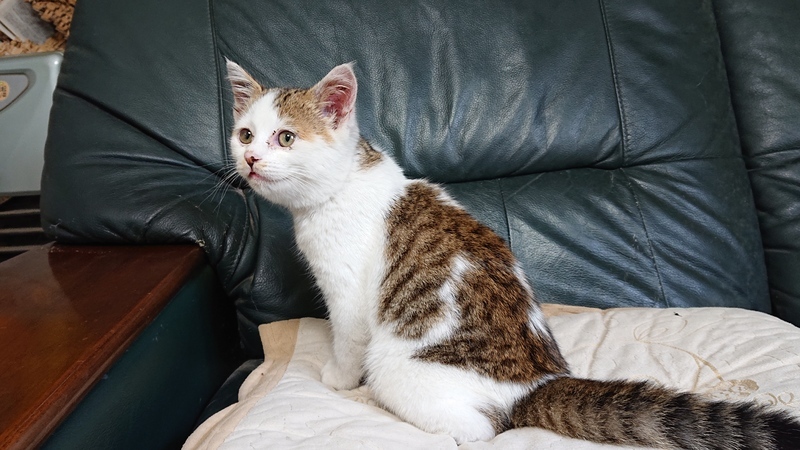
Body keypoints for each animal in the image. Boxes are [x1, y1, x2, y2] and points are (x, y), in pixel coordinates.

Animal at [224, 59, 800, 449]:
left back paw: (378, 398)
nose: (250, 159)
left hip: (401, 366)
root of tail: (538, 381)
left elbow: (347, 341)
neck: (339, 189)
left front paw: (342, 381)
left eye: (286, 138)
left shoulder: (349, 298)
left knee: (479, 430)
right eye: (246, 134)